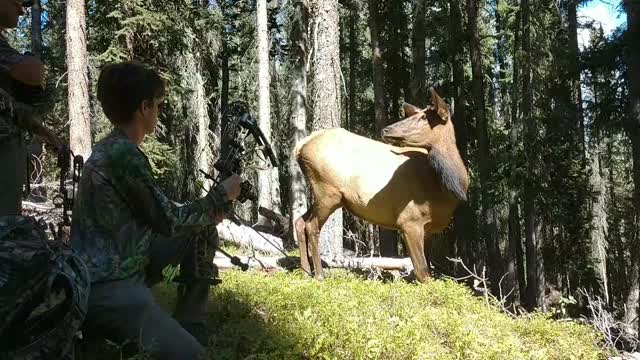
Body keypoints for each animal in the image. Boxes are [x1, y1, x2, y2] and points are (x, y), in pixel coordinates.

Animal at [292, 87, 468, 282]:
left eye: (424, 117)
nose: (387, 129)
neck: (446, 190)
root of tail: (299, 147)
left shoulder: (428, 228)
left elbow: (426, 268)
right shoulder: (409, 221)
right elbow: (423, 273)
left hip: (327, 197)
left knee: (299, 221)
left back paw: (306, 272)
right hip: (327, 192)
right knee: (311, 225)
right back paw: (319, 275)